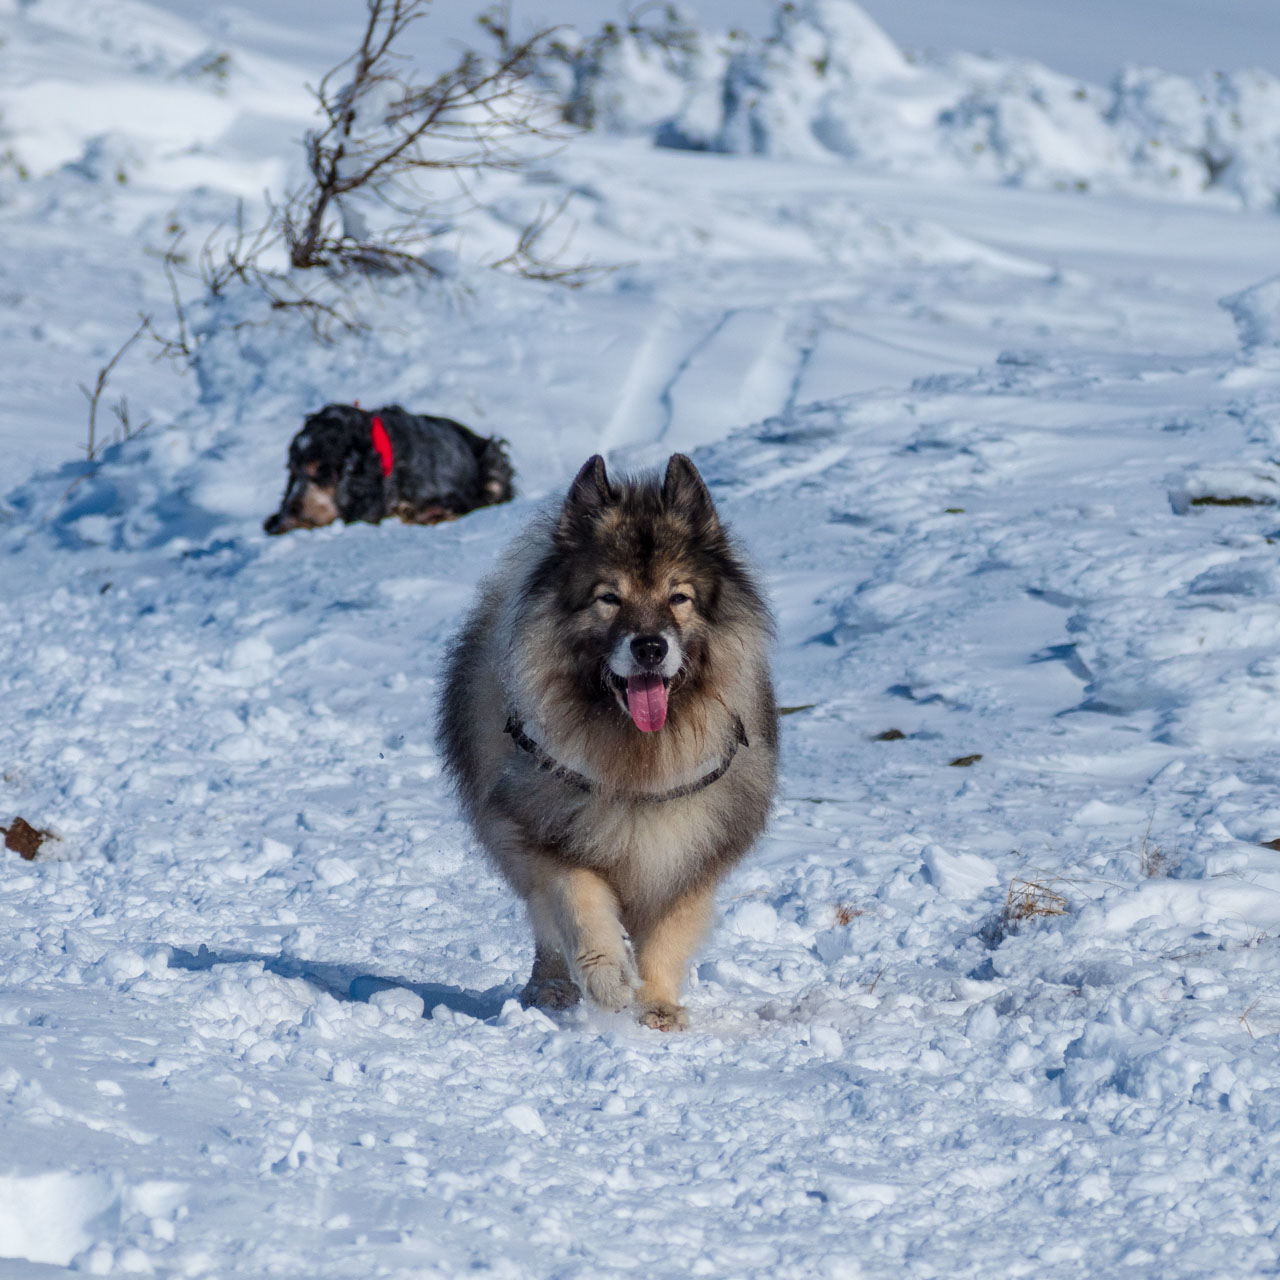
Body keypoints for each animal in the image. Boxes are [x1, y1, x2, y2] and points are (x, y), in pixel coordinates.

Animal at [440, 453, 778, 1029]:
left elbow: (668, 933)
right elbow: (578, 902)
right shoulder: (545, 830)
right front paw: (608, 977)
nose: (649, 647)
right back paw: (550, 989)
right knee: (545, 928)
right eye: (609, 598)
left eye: (679, 597)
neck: (639, 755)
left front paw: (657, 1006)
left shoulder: (693, 849)